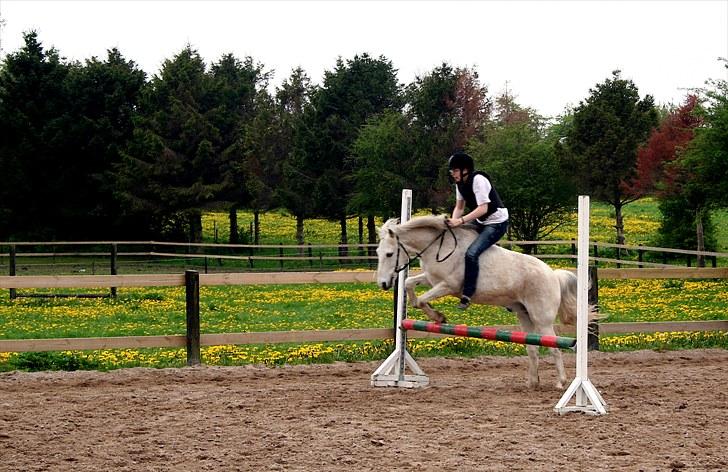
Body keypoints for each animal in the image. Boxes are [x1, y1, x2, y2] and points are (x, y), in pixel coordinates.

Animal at [378, 214, 576, 388]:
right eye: (378, 253)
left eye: (389, 254)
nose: (383, 284)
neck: (439, 248)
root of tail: (553, 275)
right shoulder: (432, 279)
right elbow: (409, 284)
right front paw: (436, 316)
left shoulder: (449, 286)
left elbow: (420, 300)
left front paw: (439, 316)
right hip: (524, 315)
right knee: (533, 348)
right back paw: (532, 383)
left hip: (542, 320)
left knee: (554, 347)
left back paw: (560, 382)